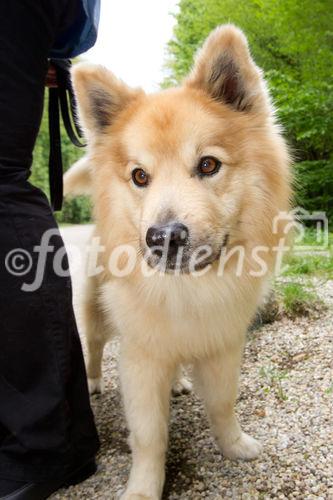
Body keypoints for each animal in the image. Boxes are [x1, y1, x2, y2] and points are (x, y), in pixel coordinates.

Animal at [64, 24, 290, 500]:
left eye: (207, 165)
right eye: (139, 176)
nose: (164, 237)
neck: (188, 292)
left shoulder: (222, 344)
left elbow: (222, 404)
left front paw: (234, 446)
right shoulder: (142, 358)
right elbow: (149, 435)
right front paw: (143, 489)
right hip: (95, 312)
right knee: (93, 346)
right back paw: (92, 381)